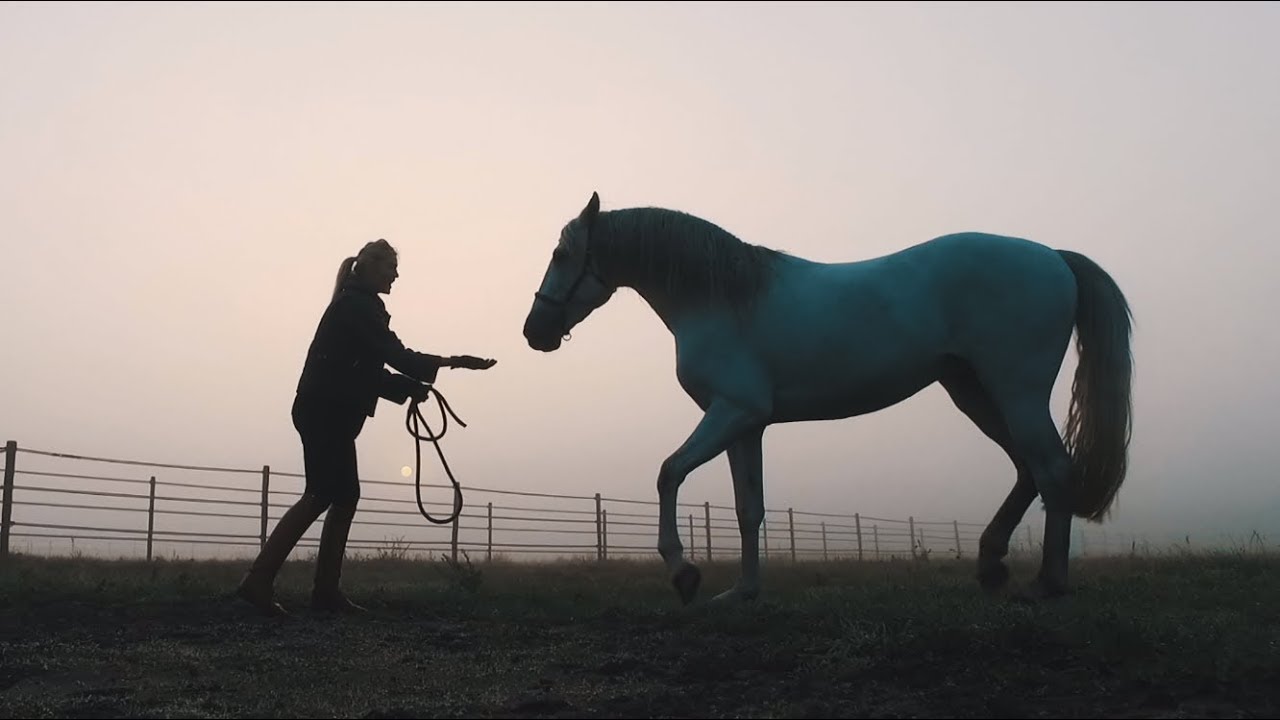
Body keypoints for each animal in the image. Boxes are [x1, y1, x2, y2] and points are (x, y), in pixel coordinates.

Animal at [523, 192, 1134, 605]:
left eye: (561, 254)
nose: (534, 331)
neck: (721, 298)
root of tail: (1053, 257)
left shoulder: (732, 411)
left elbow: (669, 472)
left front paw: (684, 573)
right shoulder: (747, 424)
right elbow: (748, 508)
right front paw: (743, 592)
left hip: (1016, 391)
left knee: (1052, 469)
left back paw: (1048, 582)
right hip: (973, 392)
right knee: (1027, 470)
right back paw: (990, 566)